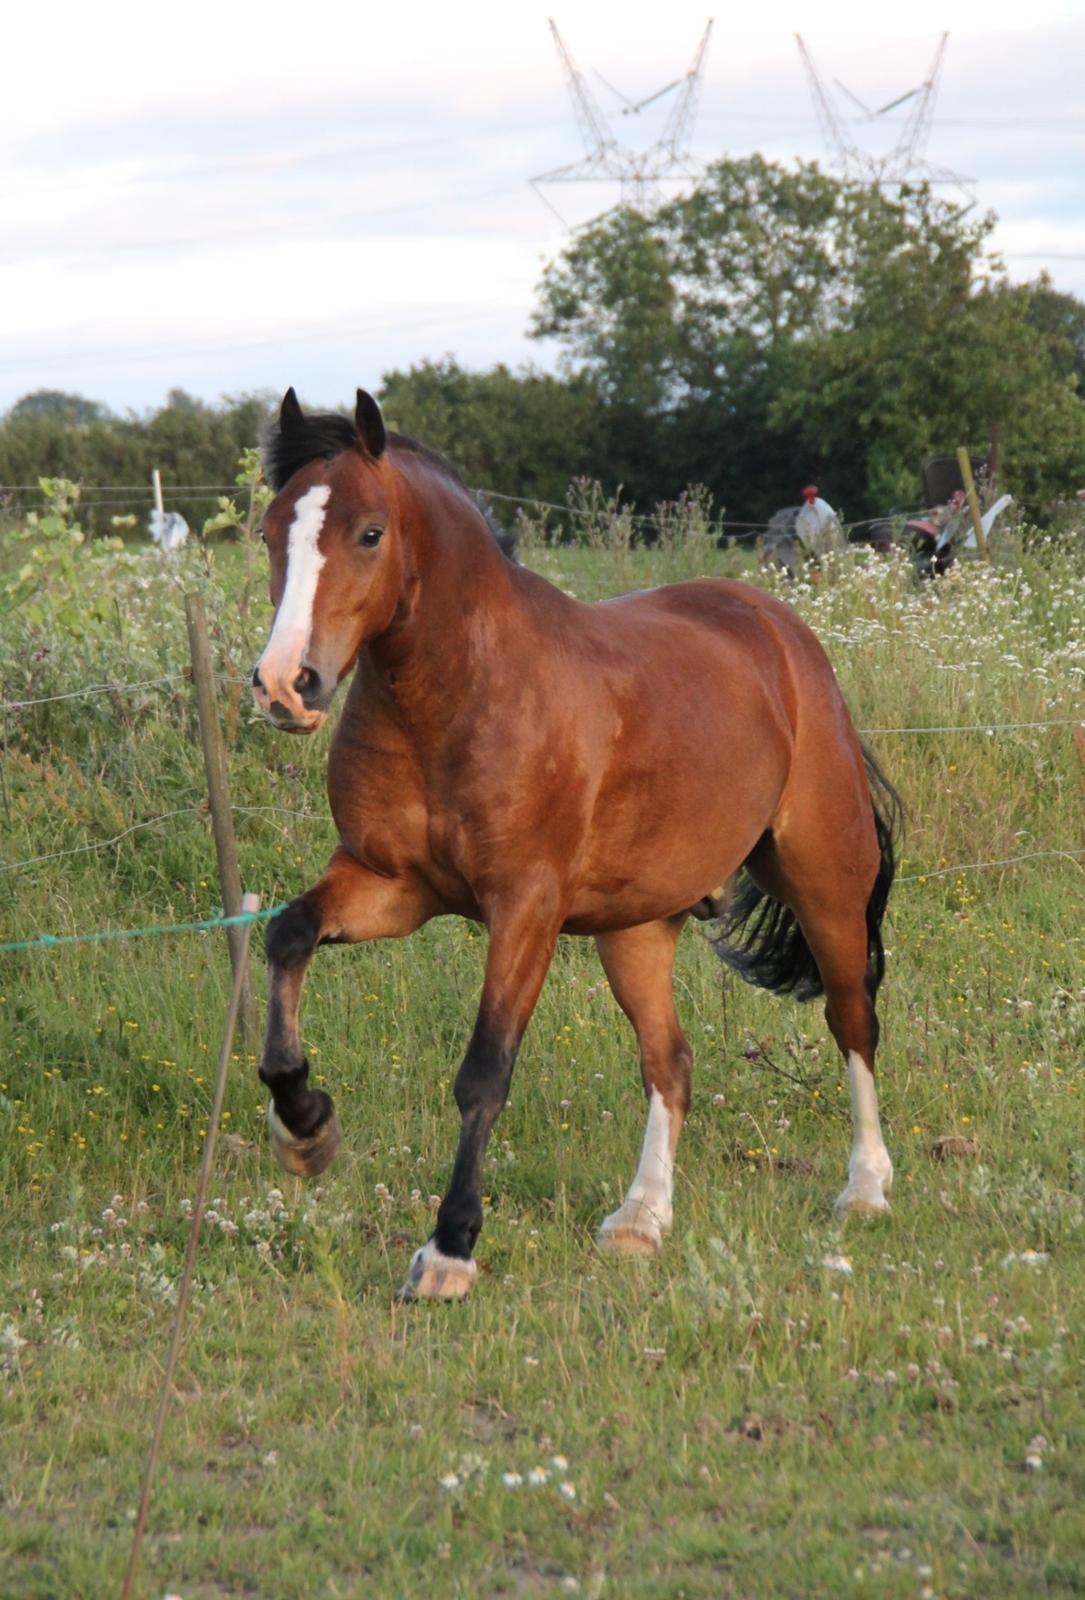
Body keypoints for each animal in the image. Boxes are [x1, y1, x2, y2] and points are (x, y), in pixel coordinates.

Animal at [252, 387, 902, 1299]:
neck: (461, 695)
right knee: (670, 1061)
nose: (286, 686)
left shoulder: (524, 906)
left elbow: (484, 1072)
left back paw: (865, 1189)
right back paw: (640, 1219)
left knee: (851, 1020)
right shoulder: (390, 884)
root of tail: (782, 633)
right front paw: (305, 1127)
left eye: (369, 533)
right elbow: (288, 937)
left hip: (823, 885)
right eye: (270, 531)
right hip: (637, 929)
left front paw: (448, 1250)